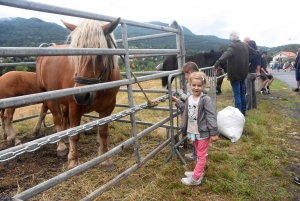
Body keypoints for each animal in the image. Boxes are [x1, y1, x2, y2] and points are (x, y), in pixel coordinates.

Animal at [36, 17, 122, 170]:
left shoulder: (108, 108)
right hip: (51, 97)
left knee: (63, 119)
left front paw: (105, 159)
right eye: (75, 55)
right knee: (57, 119)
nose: (82, 95)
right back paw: (61, 146)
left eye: (100, 54)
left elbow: (103, 132)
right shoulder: (74, 106)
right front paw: (73, 161)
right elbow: (75, 135)